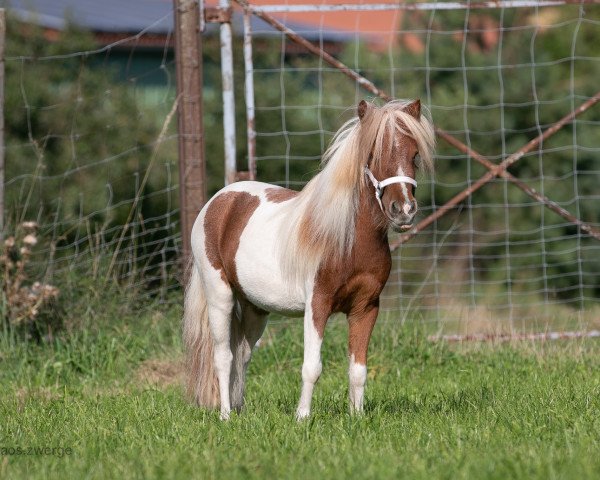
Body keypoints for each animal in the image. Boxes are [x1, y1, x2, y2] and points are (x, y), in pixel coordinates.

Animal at [184, 99, 436, 418]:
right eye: (373, 153)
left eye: (414, 154)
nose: (403, 211)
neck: (347, 240)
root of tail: (219, 200)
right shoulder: (317, 305)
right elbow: (312, 367)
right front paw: (302, 417)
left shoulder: (366, 308)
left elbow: (358, 370)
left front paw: (357, 416)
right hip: (220, 296)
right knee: (223, 356)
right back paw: (226, 415)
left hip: (255, 307)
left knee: (243, 354)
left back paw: (240, 409)